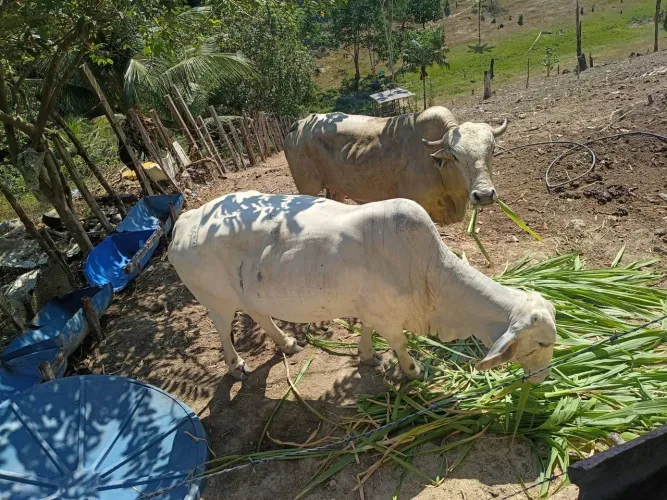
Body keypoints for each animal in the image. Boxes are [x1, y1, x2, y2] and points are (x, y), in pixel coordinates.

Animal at [168, 191, 556, 383]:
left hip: (249, 292)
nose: (542, 379)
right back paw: (236, 365)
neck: (432, 274)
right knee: (223, 329)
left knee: (259, 313)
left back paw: (287, 343)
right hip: (217, 300)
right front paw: (413, 371)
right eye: (541, 343)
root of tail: (186, 220)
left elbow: (369, 332)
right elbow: (400, 343)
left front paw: (368, 356)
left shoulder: (372, 309)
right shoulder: (389, 318)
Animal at [283, 106, 508, 225]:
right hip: (308, 187)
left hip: (336, 187)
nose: (484, 195)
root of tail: (299, 123)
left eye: (491, 150)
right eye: (455, 156)